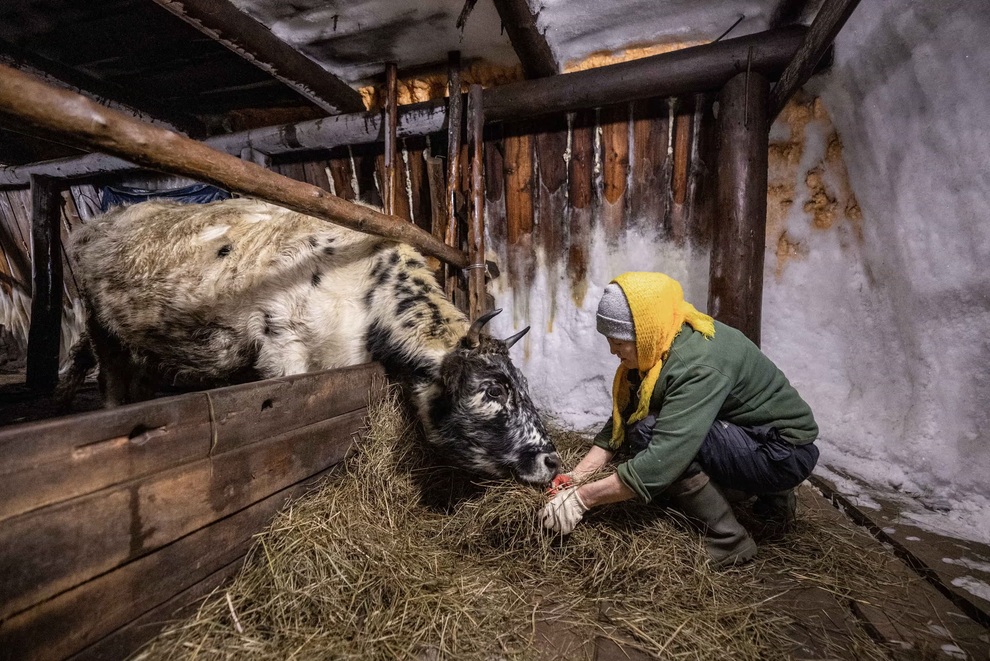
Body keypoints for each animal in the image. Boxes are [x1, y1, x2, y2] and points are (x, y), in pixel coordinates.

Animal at [58, 196, 560, 484]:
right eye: (492, 389)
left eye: (523, 385)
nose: (553, 460)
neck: (365, 288)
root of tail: (94, 225)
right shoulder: (284, 350)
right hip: (102, 331)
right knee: (110, 381)